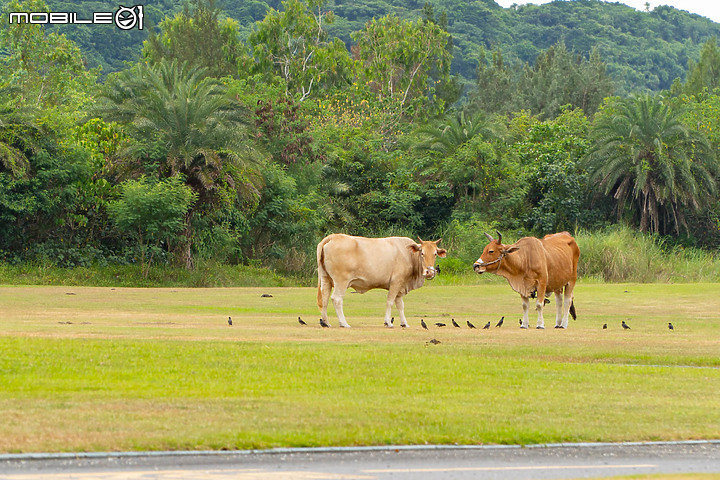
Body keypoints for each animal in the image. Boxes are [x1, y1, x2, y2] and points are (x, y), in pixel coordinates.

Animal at [316, 234, 444, 328]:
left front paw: (404, 323)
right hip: (341, 281)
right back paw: (344, 323)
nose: (429, 272)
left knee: (325, 299)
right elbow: (390, 302)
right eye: (422, 253)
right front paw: (388, 322)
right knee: (337, 299)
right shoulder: (396, 282)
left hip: (326, 279)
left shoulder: (400, 286)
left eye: (435, 254)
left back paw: (326, 322)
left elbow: (400, 305)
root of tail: (332, 237)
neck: (408, 255)